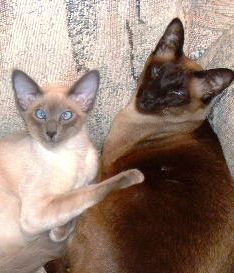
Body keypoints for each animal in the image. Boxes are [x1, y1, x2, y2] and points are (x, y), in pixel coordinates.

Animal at [0, 70, 144, 272]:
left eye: (66, 115)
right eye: (40, 114)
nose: (51, 133)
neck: (71, 153)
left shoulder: (89, 177)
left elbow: (80, 195)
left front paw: (59, 231)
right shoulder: (36, 213)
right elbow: (85, 194)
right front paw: (134, 175)